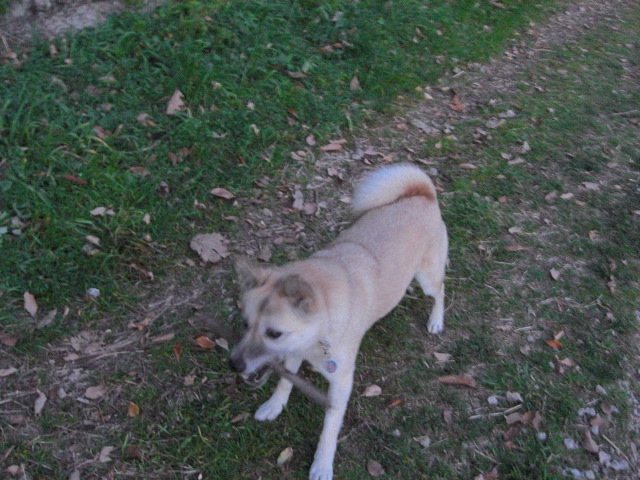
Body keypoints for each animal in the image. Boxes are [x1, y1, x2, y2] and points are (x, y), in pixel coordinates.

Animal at [230, 164, 448, 480]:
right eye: (245, 324)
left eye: (273, 333)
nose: (233, 364)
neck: (321, 327)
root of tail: (423, 195)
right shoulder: (295, 352)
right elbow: (284, 381)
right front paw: (274, 405)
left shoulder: (341, 383)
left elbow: (329, 430)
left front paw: (322, 464)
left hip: (427, 278)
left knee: (440, 291)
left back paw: (436, 320)